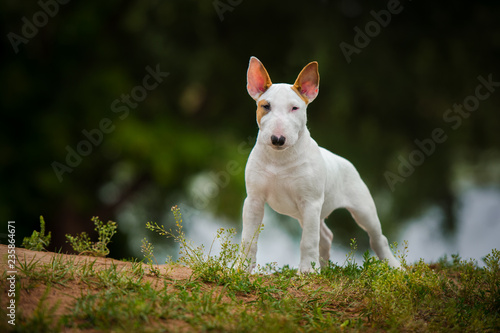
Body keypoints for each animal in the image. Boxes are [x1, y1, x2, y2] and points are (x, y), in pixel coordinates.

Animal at [240, 55, 400, 272]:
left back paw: (394, 266)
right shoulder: (254, 201)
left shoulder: (311, 202)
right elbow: (249, 239)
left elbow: (308, 240)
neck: (280, 159)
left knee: (377, 237)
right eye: (265, 106)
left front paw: (307, 270)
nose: (277, 139)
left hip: (362, 208)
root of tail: (345, 161)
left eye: (295, 108)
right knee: (325, 236)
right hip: (305, 213)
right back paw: (323, 268)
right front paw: (240, 268)